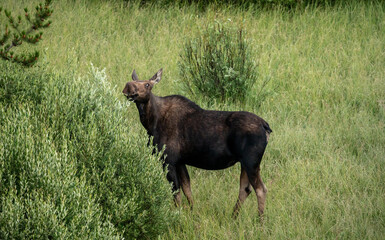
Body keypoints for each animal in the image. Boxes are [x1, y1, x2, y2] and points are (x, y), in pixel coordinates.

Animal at [122, 68, 270, 217]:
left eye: (147, 84)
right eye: (135, 81)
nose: (128, 86)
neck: (150, 123)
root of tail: (266, 126)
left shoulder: (168, 160)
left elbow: (176, 192)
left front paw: (178, 215)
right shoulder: (180, 161)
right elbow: (187, 189)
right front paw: (192, 212)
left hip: (251, 162)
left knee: (260, 189)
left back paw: (260, 220)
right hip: (244, 163)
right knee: (245, 189)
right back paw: (234, 217)